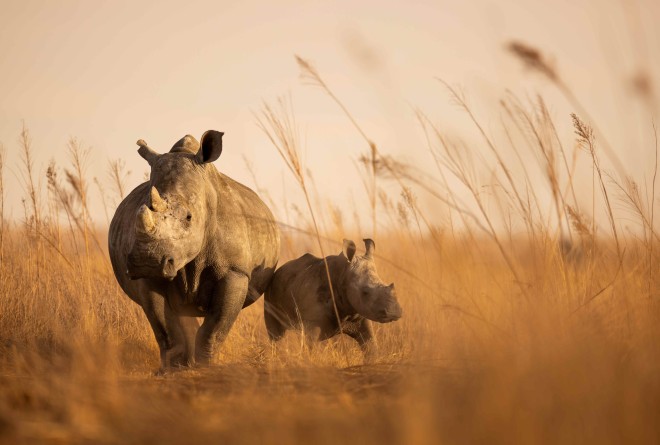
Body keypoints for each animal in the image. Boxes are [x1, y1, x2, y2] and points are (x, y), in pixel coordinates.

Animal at [109, 130, 280, 370]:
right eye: (138, 213)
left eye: (189, 217)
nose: (147, 262)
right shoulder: (149, 278)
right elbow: (166, 329)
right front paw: (173, 370)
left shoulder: (235, 271)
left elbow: (215, 328)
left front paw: (204, 366)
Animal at [264, 239, 402, 354]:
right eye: (365, 292)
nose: (394, 313)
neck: (343, 274)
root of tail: (278, 270)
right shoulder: (312, 322)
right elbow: (311, 349)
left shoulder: (361, 317)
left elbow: (371, 347)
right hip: (269, 291)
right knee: (276, 336)